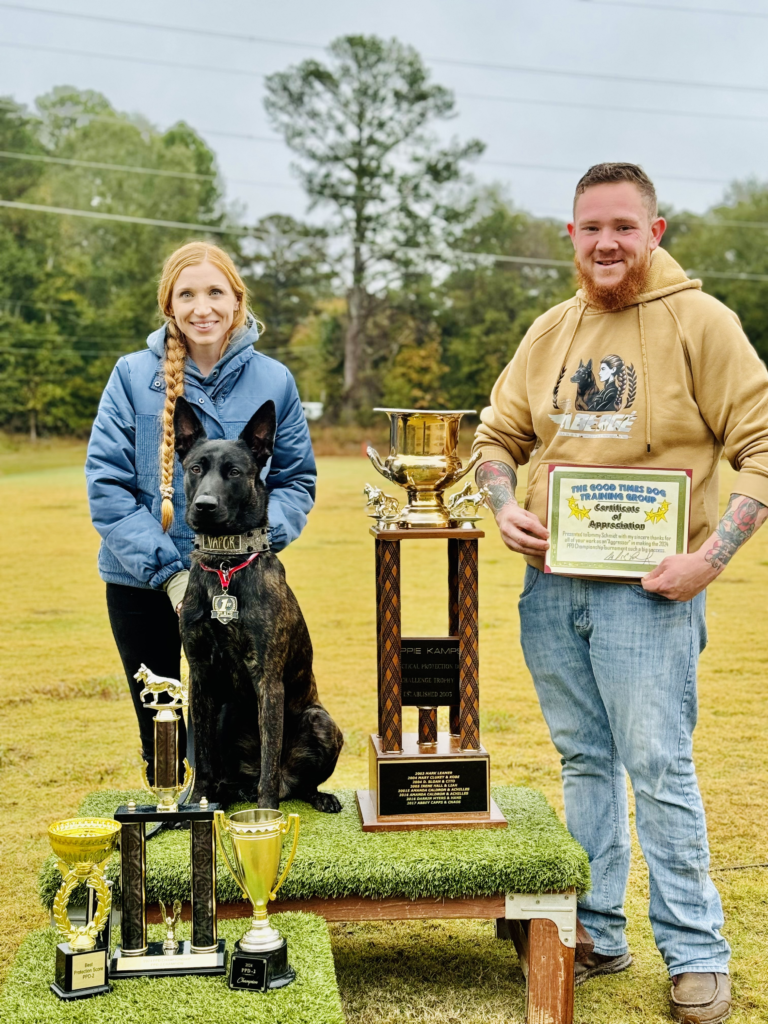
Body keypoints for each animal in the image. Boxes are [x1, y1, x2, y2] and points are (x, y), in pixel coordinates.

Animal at [176, 395, 344, 811]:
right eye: (195, 468)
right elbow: (202, 757)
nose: (204, 505)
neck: (226, 565)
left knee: (294, 780)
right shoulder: (200, 678)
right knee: (228, 773)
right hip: (225, 714)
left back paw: (311, 796)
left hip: (320, 721)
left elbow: (270, 755)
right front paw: (196, 803)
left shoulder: (267, 680)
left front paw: (267, 815)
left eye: (234, 472)